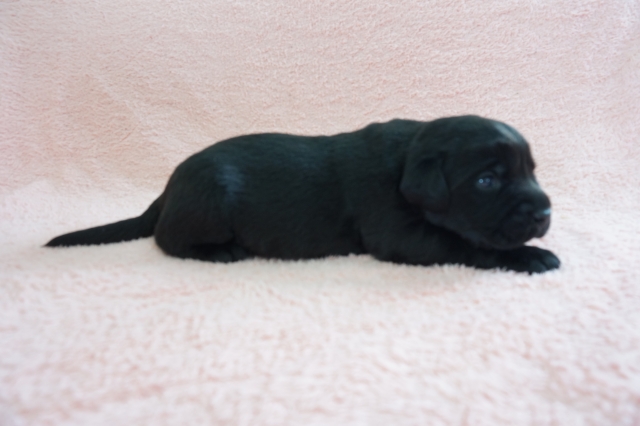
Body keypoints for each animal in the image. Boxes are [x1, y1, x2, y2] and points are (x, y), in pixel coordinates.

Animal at [46, 115, 560, 274]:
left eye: (531, 171)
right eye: (487, 181)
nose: (544, 213)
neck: (407, 160)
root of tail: (168, 188)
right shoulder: (399, 233)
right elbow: (467, 244)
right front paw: (530, 257)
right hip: (209, 202)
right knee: (168, 240)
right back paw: (220, 252)